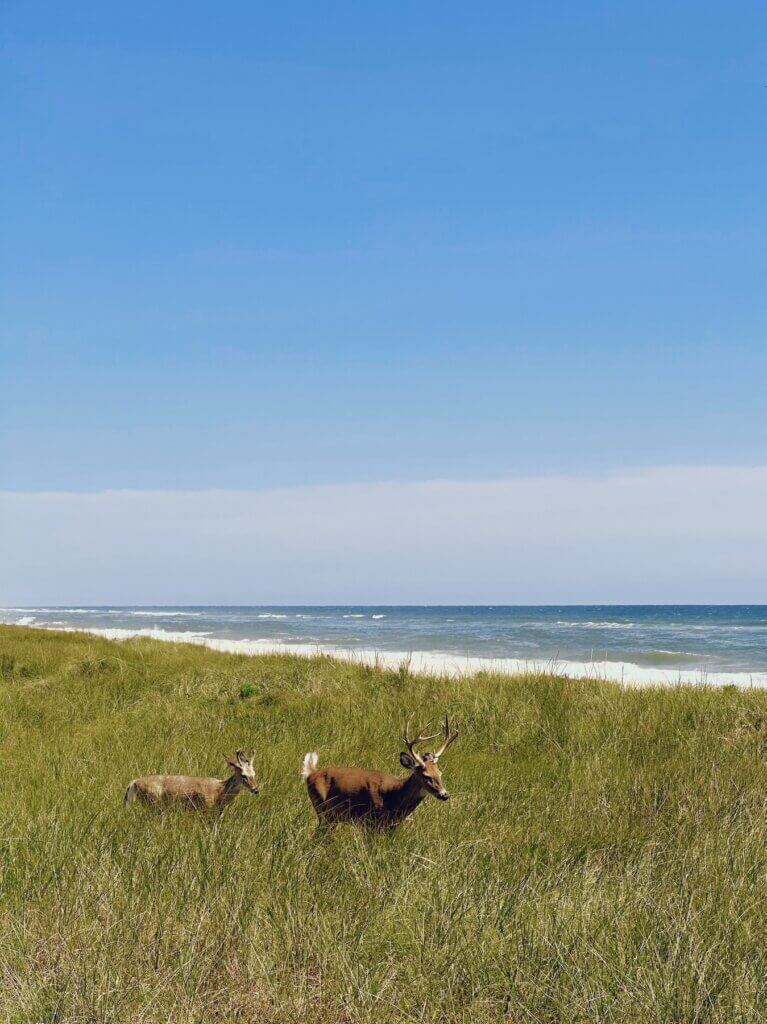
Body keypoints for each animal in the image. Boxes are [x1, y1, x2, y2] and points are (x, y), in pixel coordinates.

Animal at [123, 749, 260, 811]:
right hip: (153, 803)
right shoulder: (204, 809)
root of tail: (134, 782)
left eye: (254, 774)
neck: (219, 792)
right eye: (243, 775)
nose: (256, 790)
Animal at [301, 716, 458, 827]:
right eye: (426, 776)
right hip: (323, 810)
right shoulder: (369, 821)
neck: (395, 796)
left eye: (440, 774)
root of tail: (311, 773)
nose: (444, 795)